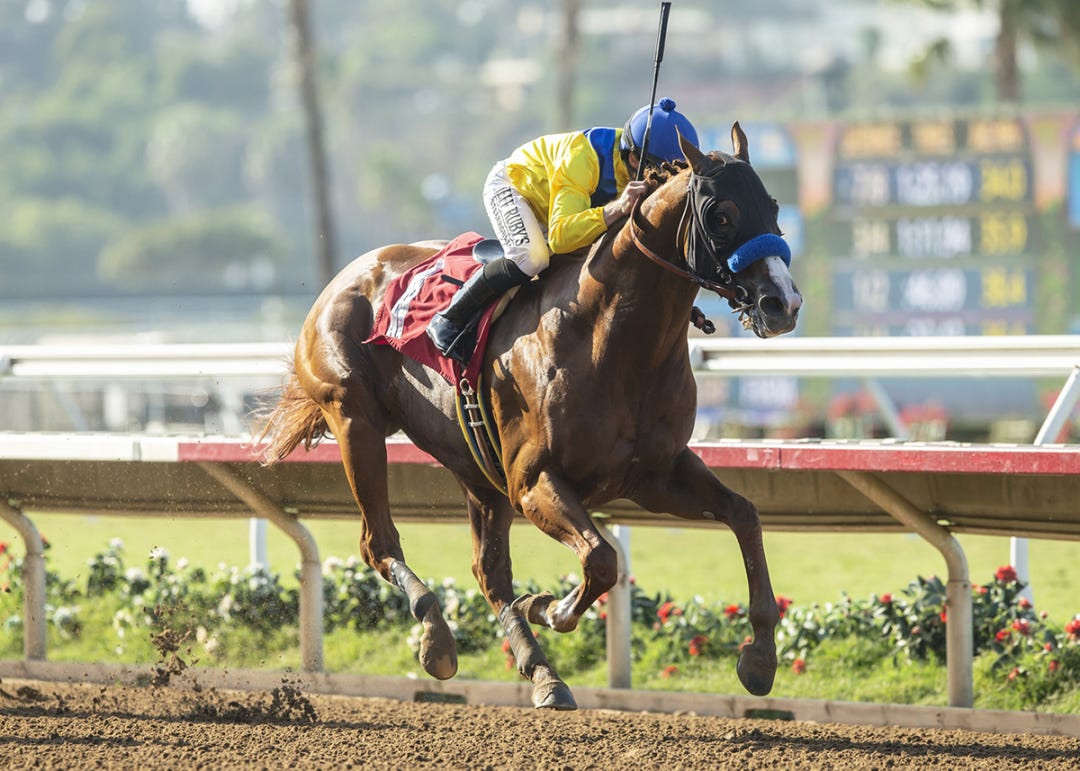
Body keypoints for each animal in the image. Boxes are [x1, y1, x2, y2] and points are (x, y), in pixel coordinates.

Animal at [258, 127, 802, 710]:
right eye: (719, 214)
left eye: (772, 206)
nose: (783, 303)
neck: (611, 340)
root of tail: (347, 275)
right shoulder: (533, 480)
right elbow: (601, 560)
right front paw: (550, 607)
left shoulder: (655, 474)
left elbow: (744, 515)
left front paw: (759, 658)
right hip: (356, 421)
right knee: (378, 544)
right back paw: (437, 638)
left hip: (474, 466)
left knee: (488, 571)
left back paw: (541, 672)